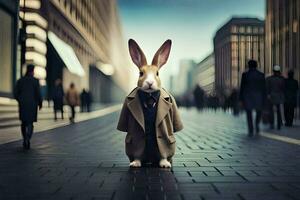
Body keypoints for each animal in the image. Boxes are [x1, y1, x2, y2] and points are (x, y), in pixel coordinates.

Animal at [116, 38, 183, 167]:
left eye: (157, 73)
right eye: (141, 73)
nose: (150, 83)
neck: (149, 95)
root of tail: (150, 160)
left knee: (162, 156)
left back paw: (164, 164)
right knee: (138, 155)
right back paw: (135, 163)